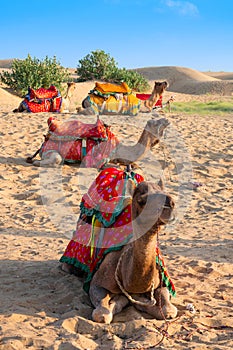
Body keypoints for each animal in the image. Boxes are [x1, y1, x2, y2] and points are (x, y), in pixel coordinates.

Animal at [26, 117, 169, 167]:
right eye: (156, 122)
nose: (166, 120)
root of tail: (44, 142)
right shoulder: (96, 160)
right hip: (51, 151)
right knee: (56, 159)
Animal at [88, 179, 177, 324]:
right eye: (141, 201)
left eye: (165, 192)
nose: (170, 203)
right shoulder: (96, 282)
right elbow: (102, 314)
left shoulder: (162, 282)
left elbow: (168, 310)